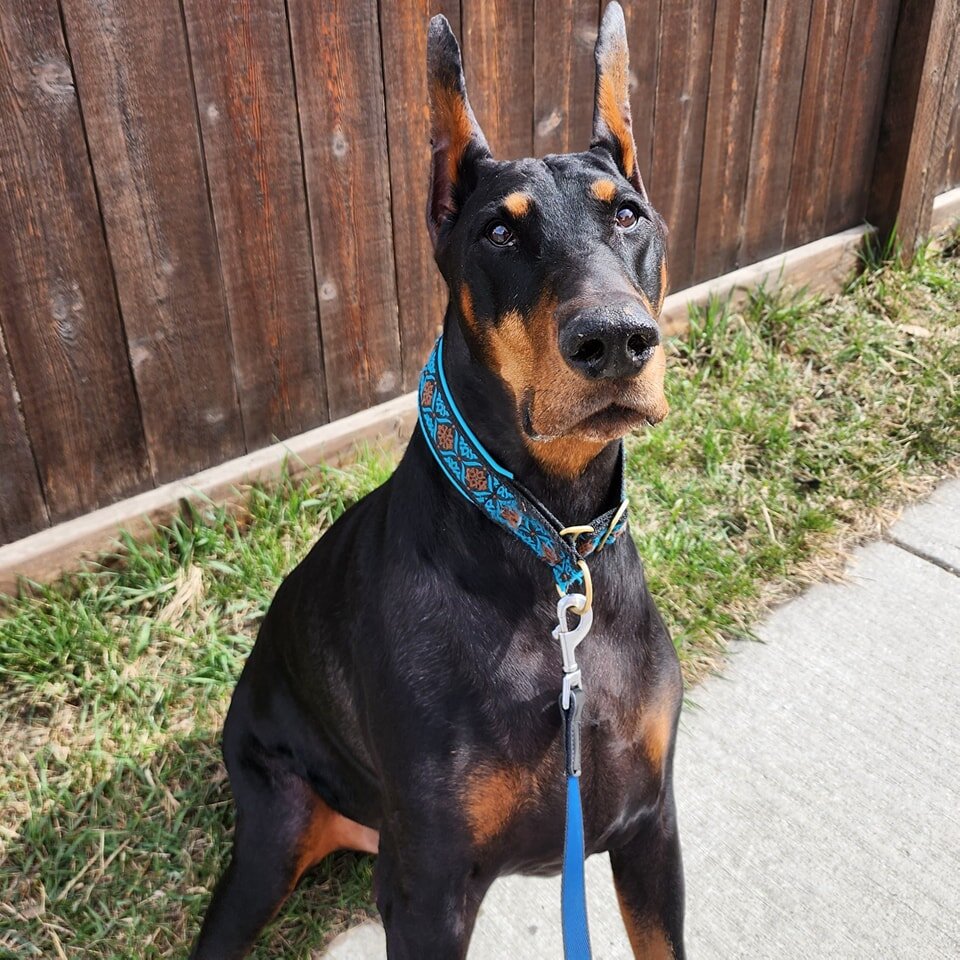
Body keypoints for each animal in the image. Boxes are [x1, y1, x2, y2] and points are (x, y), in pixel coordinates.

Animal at [189, 3, 684, 956]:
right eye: (499, 231)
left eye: (630, 213)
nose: (614, 340)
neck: (550, 544)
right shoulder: (429, 888)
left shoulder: (651, 826)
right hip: (271, 831)